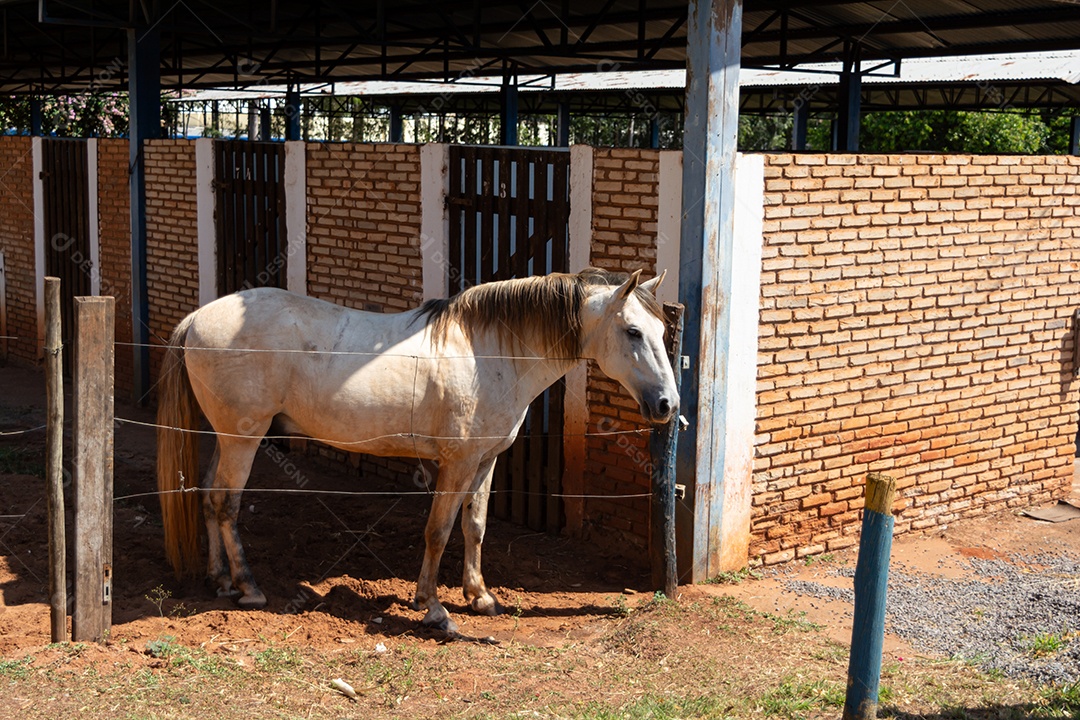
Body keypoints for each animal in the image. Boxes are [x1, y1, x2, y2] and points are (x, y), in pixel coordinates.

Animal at [156, 267, 678, 634]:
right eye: (633, 332)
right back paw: (249, 587)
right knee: (226, 504)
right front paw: (433, 608)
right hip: (243, 440)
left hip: (225, 438)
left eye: (662, 332)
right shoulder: (456, 463)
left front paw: (480, 596)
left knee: (207, 498)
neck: (490, 354)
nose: (667, 405)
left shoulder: (485, 461)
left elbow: (474, 527)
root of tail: (197, 319)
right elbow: (438, 531)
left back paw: (220, 580)